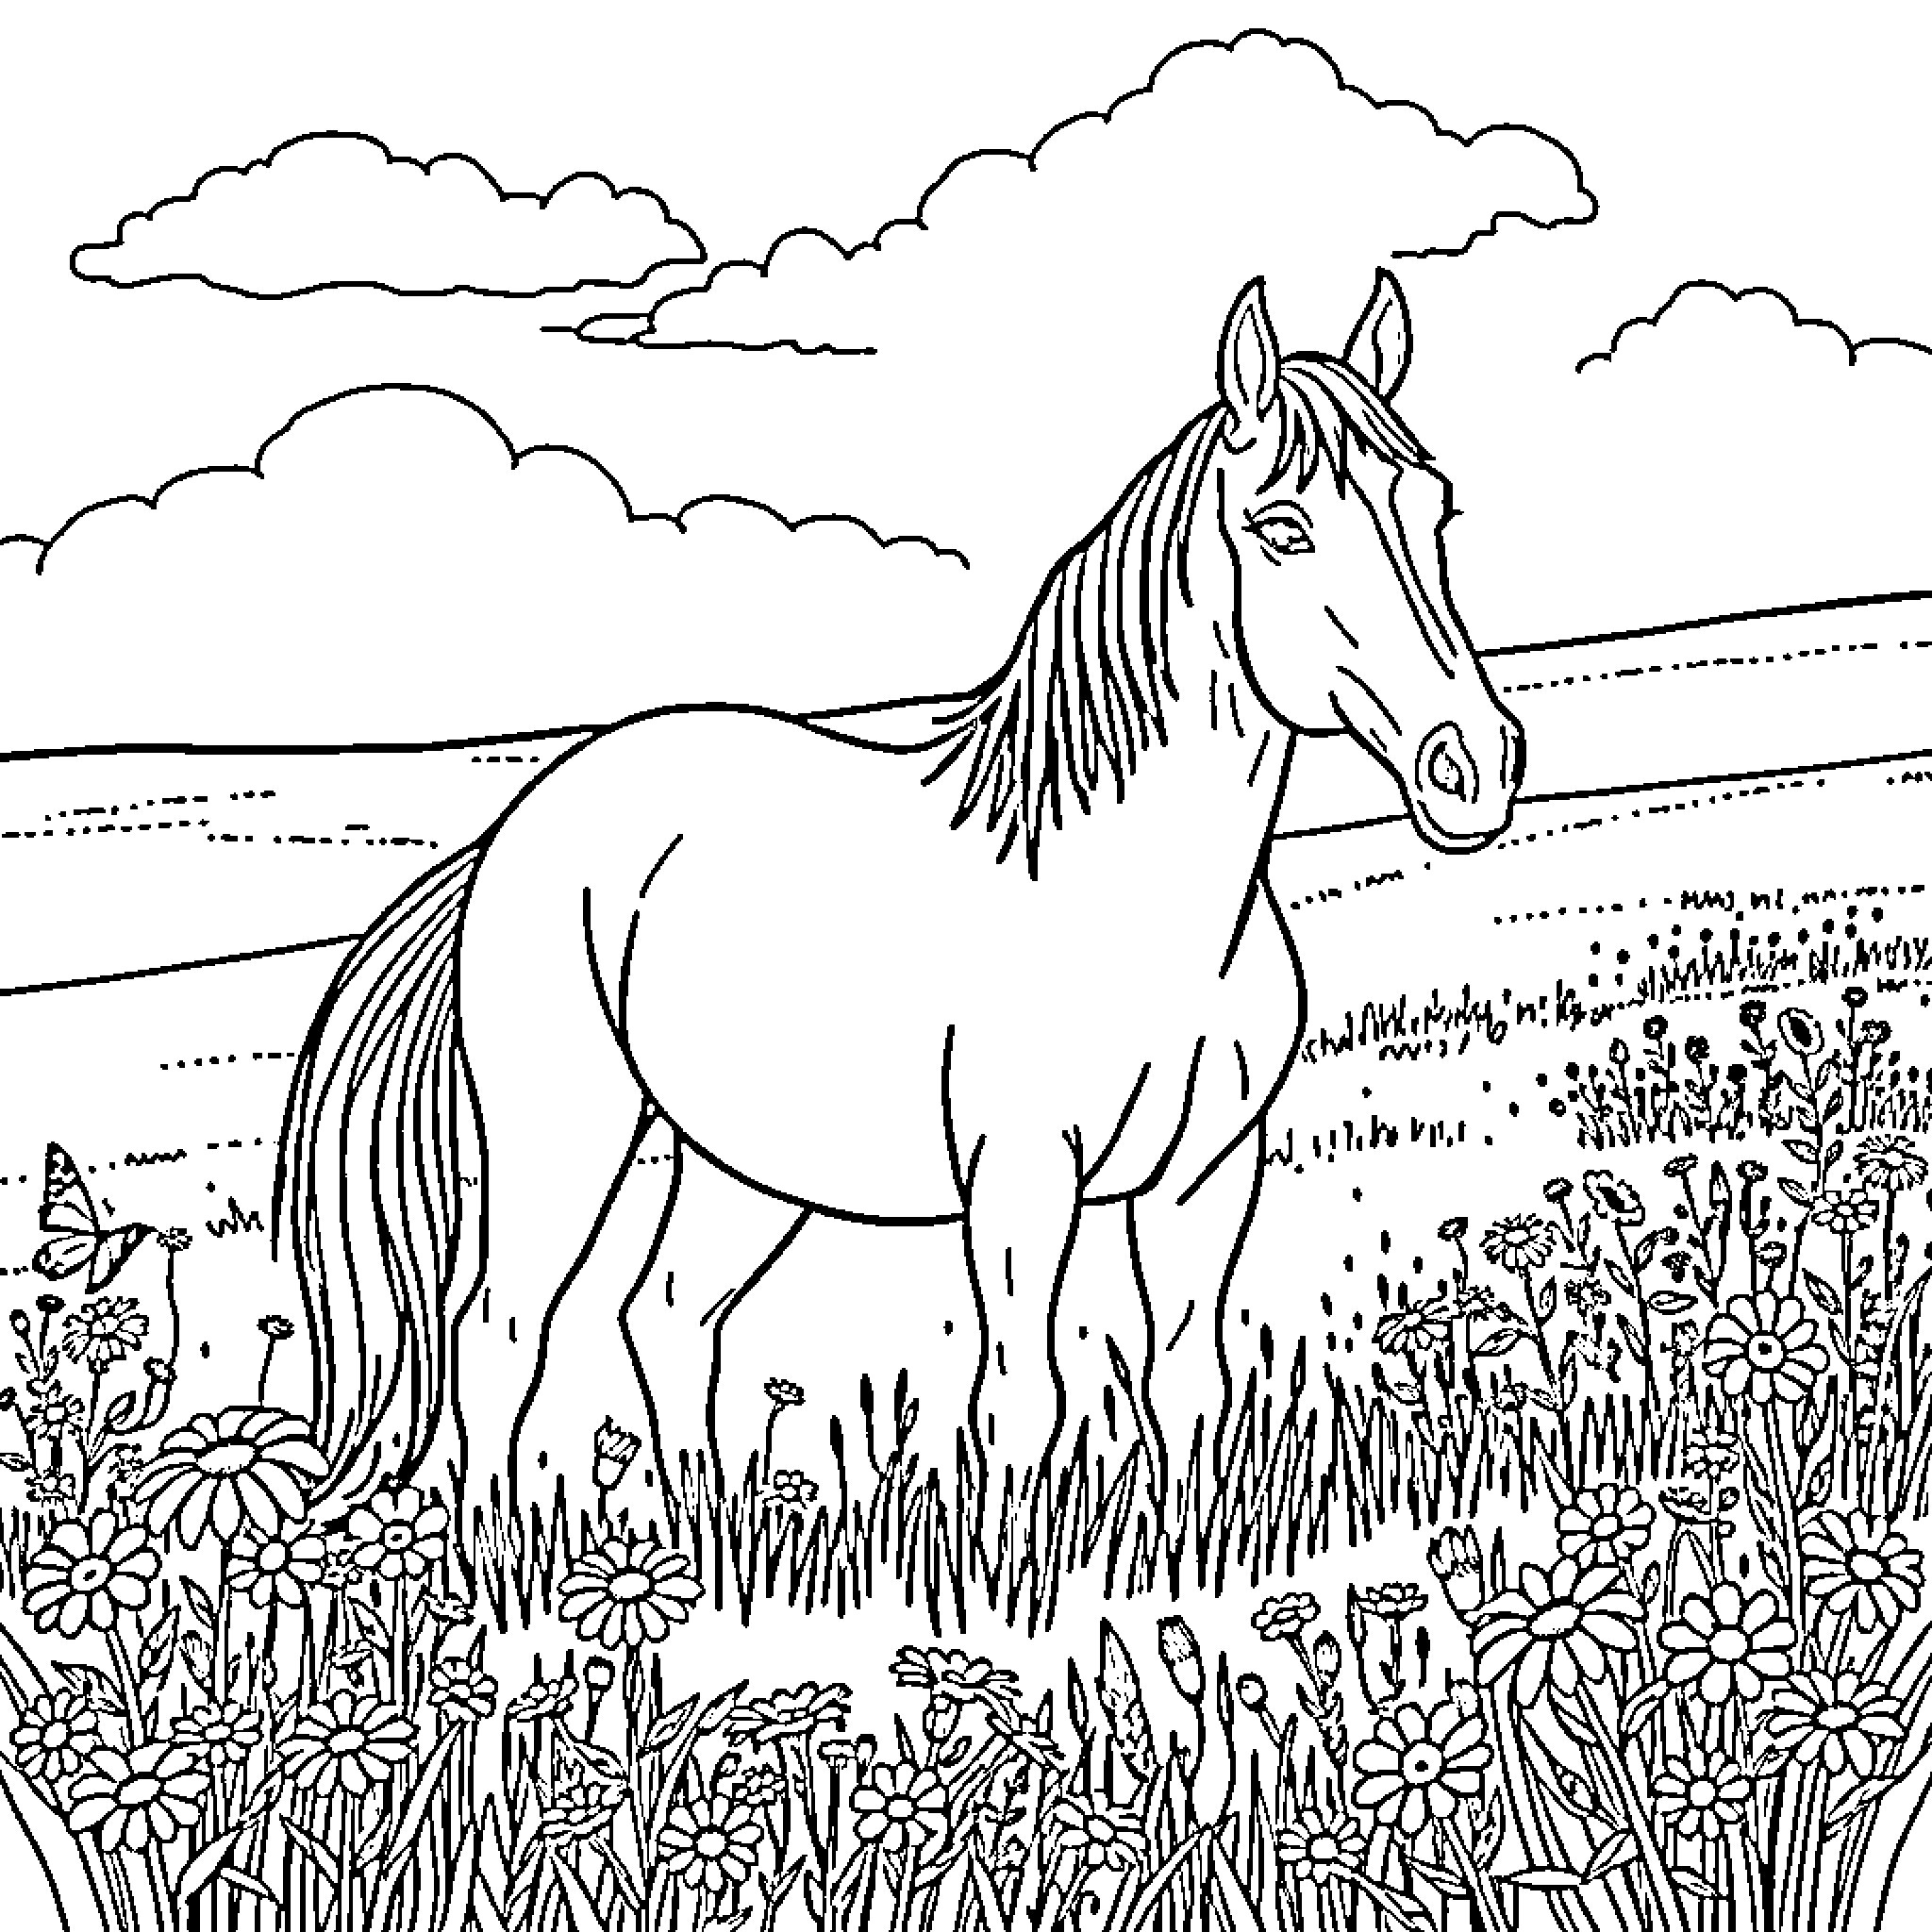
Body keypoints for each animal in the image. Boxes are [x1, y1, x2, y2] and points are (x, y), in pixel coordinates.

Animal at [276, 269, 1526, 1532]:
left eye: (1435, 509)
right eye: (1282, 528)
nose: (1469, 763)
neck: (1144, 906)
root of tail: (516, 826)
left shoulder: (1205, 1176)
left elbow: (1190, 1383)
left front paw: (1186, 1550)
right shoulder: (1022, 1177)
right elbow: (1020, 1400)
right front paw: (1026, 1576)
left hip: (743, 1163)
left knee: (667, 1317)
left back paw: (710, 1547)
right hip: (563, 1130)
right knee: (501, 1329)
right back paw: (505, 1560)